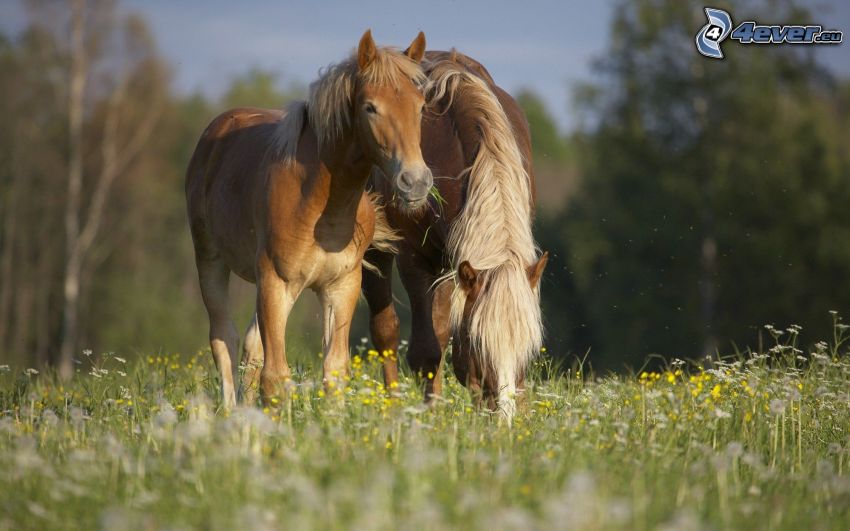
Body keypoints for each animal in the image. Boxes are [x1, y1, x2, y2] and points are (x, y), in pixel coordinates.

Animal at [189, 31, 434, 408]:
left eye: (421, 106)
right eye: (370, 107)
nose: (416, 181)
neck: (321, 204)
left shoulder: (340, 287)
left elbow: (334, 371)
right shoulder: (275, 282)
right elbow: (275, 377)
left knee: (250, 346)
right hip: (212, 261)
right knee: (223, 339)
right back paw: (230, 411)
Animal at [362, 52, 548, 422]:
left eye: (529, 348)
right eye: (480, 344)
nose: (504, 419)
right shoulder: (415, 260)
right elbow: (426, 352)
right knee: (386, 331)